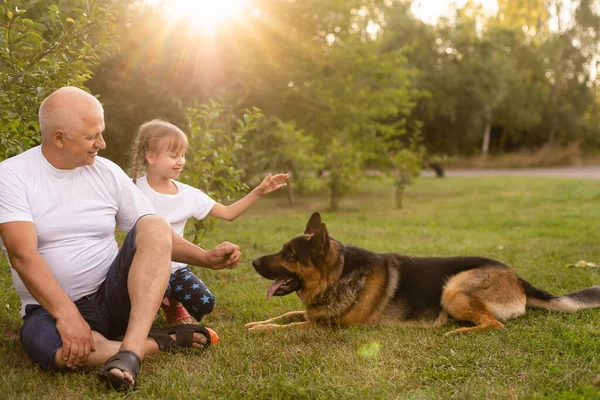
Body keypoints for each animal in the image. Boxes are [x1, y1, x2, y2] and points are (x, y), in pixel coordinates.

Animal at [246, 212, 600, 334]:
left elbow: (289, 327)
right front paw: (256, 323)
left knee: (494, 324)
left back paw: (457, 332)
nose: (252, 262)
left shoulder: (327, 328)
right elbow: (286, 315)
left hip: (453, 289)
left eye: (289, 254)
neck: (337, 275)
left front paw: (261, 331)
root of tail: (515, 276)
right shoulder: (313, 314)